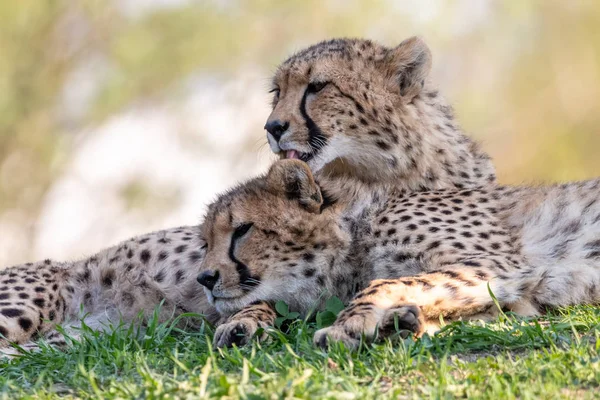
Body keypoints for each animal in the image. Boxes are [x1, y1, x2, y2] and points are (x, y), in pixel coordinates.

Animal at [203, 161, 600, 348]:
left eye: (242, 230)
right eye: (206, 242)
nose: (205, 278)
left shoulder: (502, 266)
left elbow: (384, 282)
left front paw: (351, 324)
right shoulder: (518, 300)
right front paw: (243, 322)